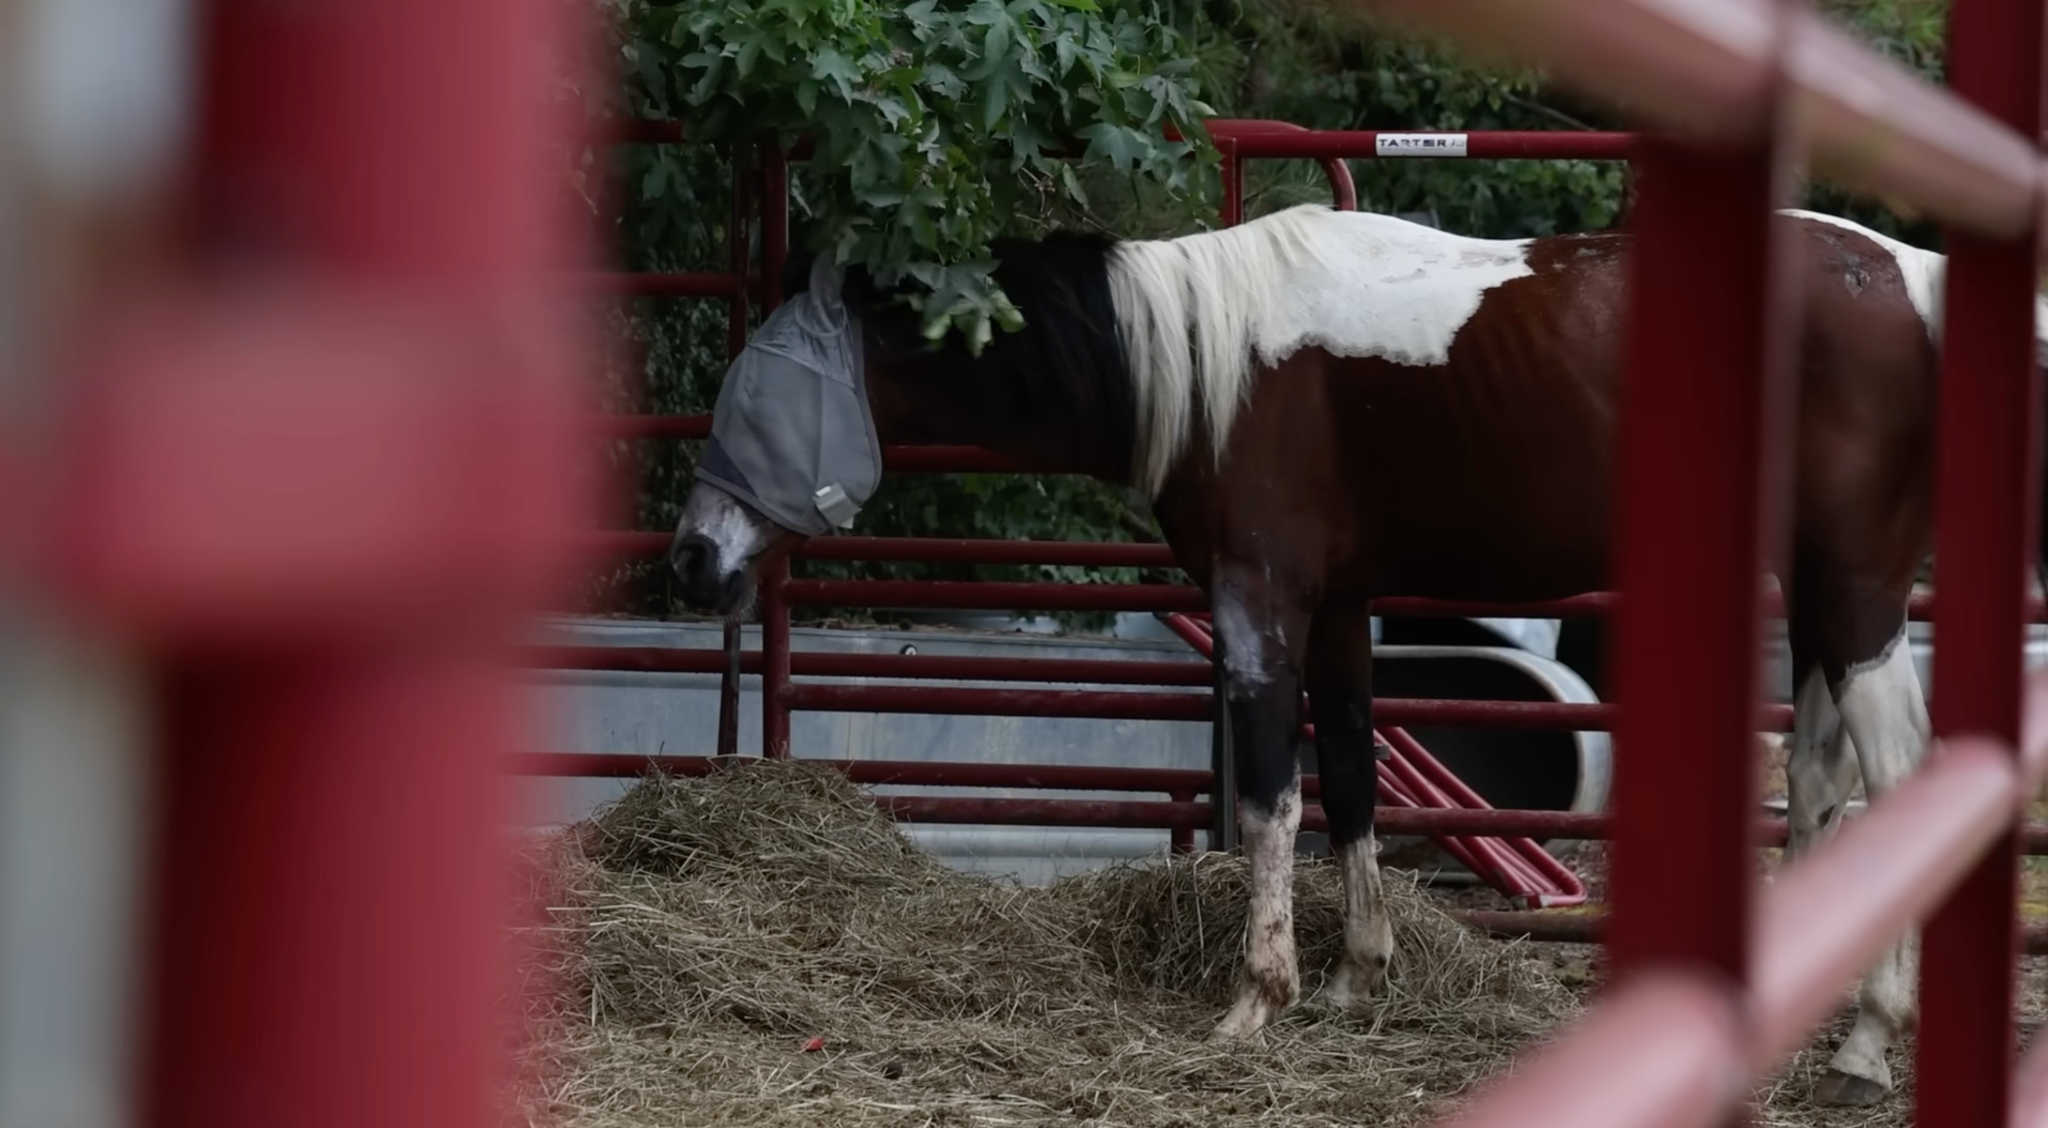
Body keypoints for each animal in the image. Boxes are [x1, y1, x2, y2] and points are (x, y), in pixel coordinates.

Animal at [668, 202, 2040, 1106]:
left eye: (754, 391)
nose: (692, 559)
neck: (1208, 360)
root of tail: (1911, 280)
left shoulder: (1257, 603)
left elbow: (1271, 798)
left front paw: (1253, 1001)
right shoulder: (1335, 610)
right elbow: (1348, 780)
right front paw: (1352, 979)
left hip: (1854, 592)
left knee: (1894, 778)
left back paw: (1864, 1043)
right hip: (1817, 597)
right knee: (1816, 784)